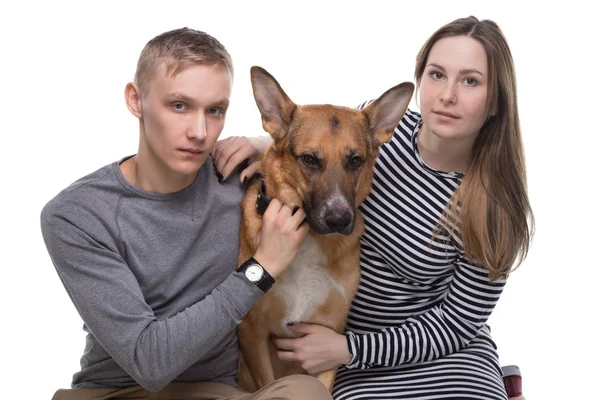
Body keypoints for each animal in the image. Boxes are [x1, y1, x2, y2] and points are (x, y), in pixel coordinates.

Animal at [237, 67, 414, 392]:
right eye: (309, 159)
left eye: (355, 160)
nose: (339, 220)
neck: (309, 239)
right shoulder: (252, 332)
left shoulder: (330, 337)